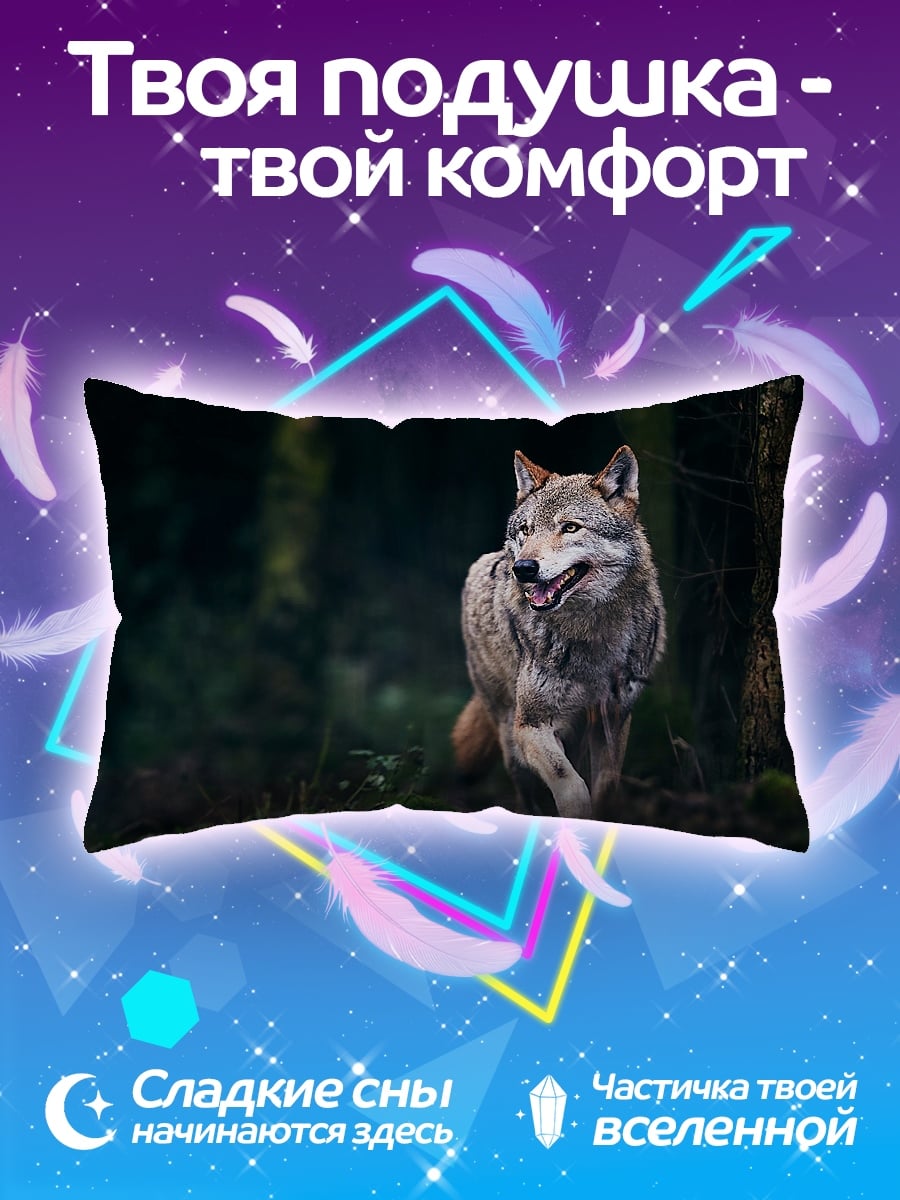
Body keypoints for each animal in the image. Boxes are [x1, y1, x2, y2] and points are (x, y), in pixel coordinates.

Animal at [453, 446, 665, 820]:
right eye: (526, 529)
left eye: (570, 527)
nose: (523, 568)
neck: (591, 631)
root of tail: (490, 559)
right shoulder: (531, 726)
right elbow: (572, 785)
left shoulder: (614, 720)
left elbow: (605, 788)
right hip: (510, 735)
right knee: (525, 792)